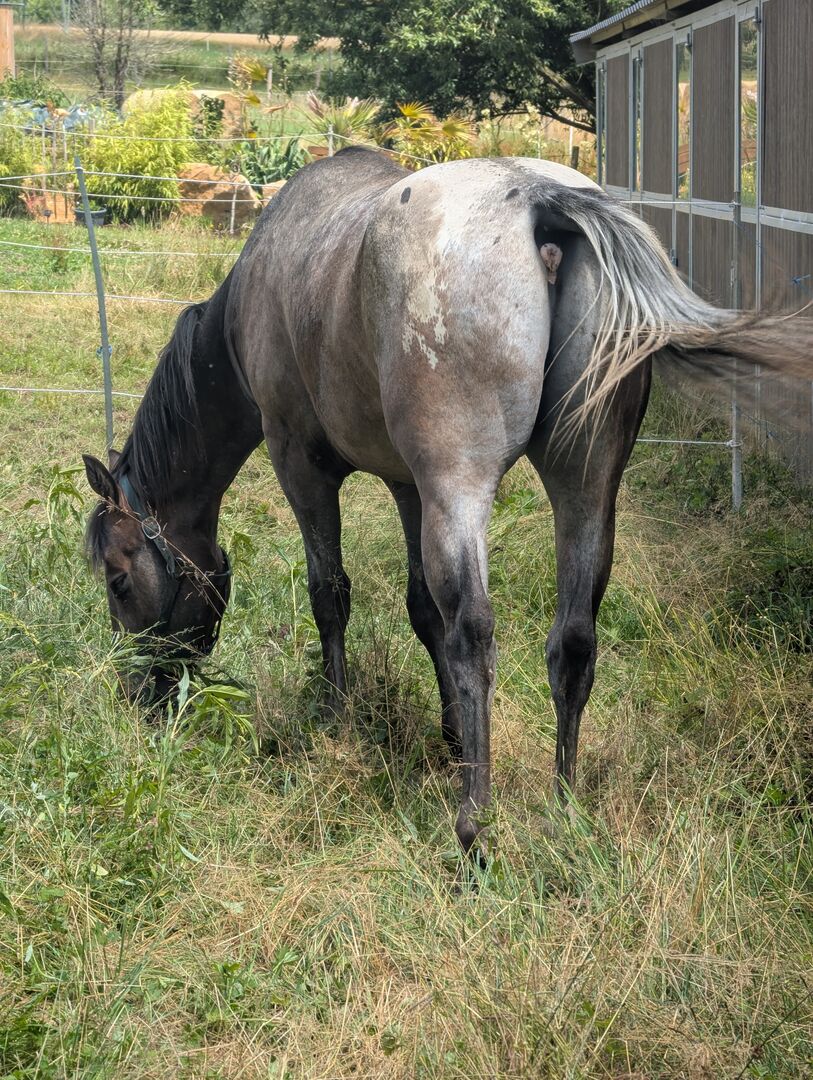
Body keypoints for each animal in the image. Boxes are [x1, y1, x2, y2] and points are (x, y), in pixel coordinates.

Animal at [84, 148, 811, 855]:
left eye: (118, 581)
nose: (136, 697)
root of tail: (539, 199)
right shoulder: (409, 487)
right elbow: (420, 610)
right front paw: (454, 736)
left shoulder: (303, 467)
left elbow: (332, 594)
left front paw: (336, 720)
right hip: (584, 485)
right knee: (573, 637)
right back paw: (564, 810)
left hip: (460, 486)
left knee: (474, 634)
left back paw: (473, 830)